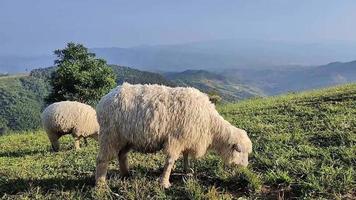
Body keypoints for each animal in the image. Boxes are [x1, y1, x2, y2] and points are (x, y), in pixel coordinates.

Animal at [96, 82, 252, 188]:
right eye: (239, 151)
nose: (245, 167)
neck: (210, 125)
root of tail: (104, 99)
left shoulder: (187, 138)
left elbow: (185, 155)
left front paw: (187, 170)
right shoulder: (176, 139)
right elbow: (170, 161)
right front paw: (164, 182)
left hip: (127, 138)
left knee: (122, 155)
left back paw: (126, 174)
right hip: (109, 135)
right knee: (102, 159)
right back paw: (101, 184)